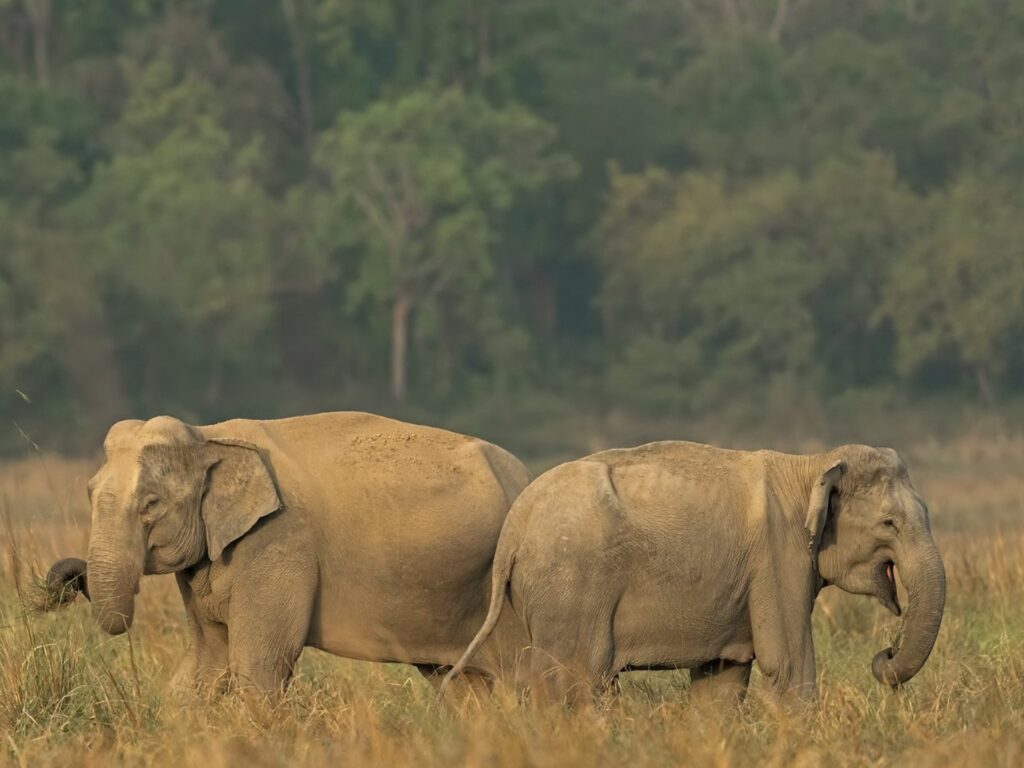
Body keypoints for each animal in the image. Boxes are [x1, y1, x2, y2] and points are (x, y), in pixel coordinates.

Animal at [45, 412, 531, 696]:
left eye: (151, 504)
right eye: (89, 493)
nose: (66, 575)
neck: (210, 437)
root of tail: (522, 474)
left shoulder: (279, 540)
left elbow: (258, 664)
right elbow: (205, 662)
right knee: (459, 684)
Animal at [442, 441, 945, 704]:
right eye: (889, 523)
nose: (885, 651)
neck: (809, 465)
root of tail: (514, 525)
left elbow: (722, 678)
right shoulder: (778, 556)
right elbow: (787, 665)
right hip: (570, 586)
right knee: (577, 680)